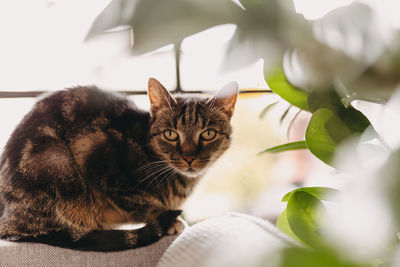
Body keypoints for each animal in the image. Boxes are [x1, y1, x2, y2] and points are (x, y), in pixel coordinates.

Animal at [0, 78, 238, 252]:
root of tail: (9, 216)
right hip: (58, 161)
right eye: (171, 134)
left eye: (208, 134)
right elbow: (146, 206)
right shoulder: (105, 168)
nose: (189, 157)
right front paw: (170, 219)